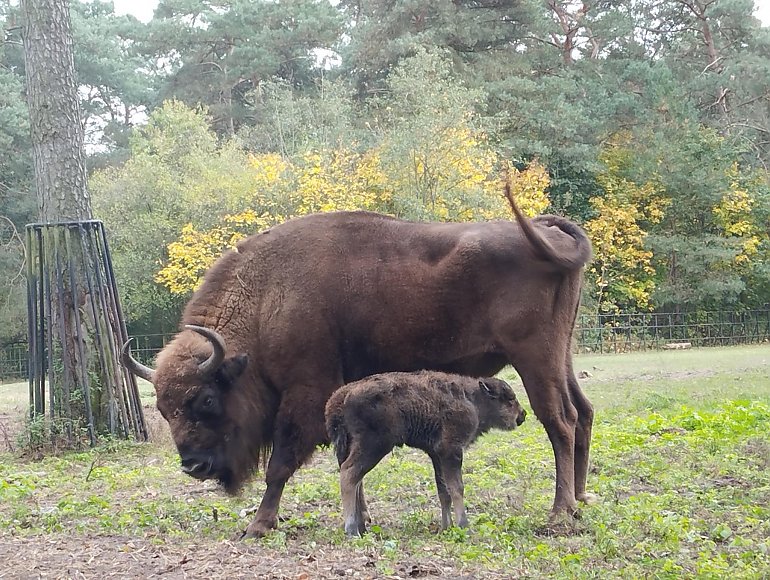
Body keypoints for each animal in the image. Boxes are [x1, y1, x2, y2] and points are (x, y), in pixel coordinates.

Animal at [320, 372, 524, 536]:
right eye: (509, 399)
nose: (522, 415)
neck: (472, 398)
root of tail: (341, 396)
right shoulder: (451, 452)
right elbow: (457, 488)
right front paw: (464, 526)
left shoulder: (437, 455)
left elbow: (444, 491)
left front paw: (446, 527)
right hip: (373, 447)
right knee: (349, 475)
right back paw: (352, 529)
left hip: (351, 448)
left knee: (355, 479)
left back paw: (360, 526)